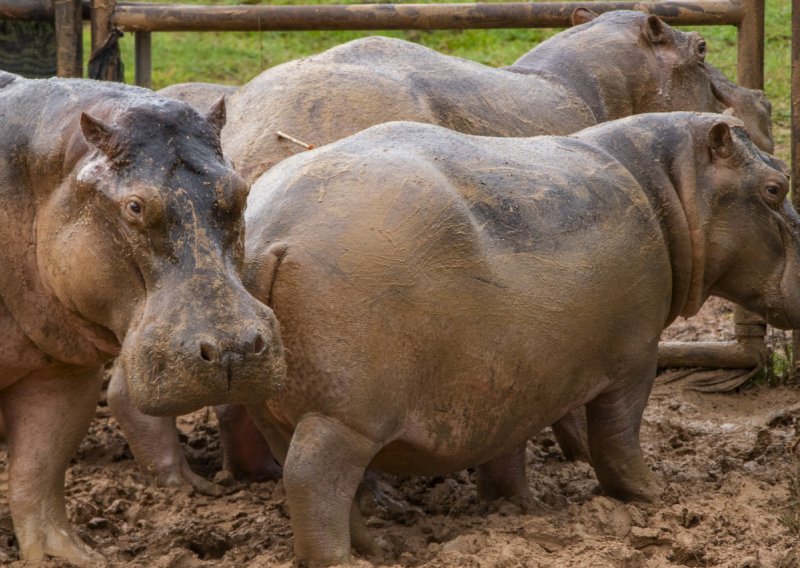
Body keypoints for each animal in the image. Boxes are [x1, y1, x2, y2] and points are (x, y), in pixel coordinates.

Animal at [0, 72, 284, 564]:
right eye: (134, 206)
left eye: (241, 191)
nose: (233, 350)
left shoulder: (63, 372)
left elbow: (39, 470)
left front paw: (68, 556)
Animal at [242, 113, 792, 564]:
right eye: (776, 188)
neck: (671, 185)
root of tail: (272, 235)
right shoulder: (634, 359)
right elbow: (617, 437)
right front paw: (653, 498)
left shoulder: (510, 374)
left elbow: (507, 446)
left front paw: (518, 508)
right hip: (346, 418)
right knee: (315, 480)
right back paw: (340, 561)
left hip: (283, 412)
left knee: (311, 477)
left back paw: (377, 550)